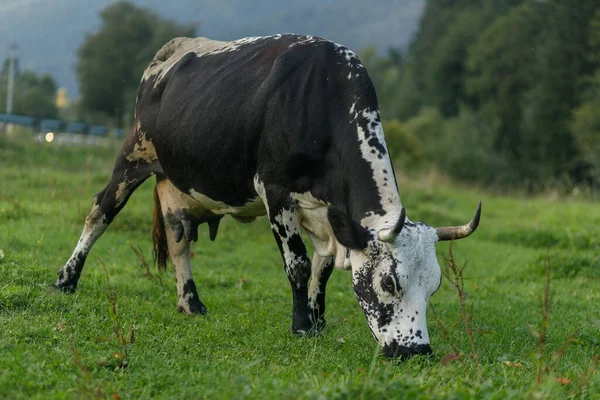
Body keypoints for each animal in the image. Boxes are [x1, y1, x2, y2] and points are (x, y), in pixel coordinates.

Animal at [54, 35, 480, 360]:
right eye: (390, 282)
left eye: (434, 286)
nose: (416, 352)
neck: (322, 97)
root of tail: (174, 49)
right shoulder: (275, 191)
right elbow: (299, 265)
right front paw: (302, 325)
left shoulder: (326, 212)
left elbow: (324, 266)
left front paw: (318, 319)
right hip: (135, 153)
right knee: (100, 211)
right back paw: (66, 278)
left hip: (176, 183)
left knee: (178, 241)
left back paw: (190, 303)